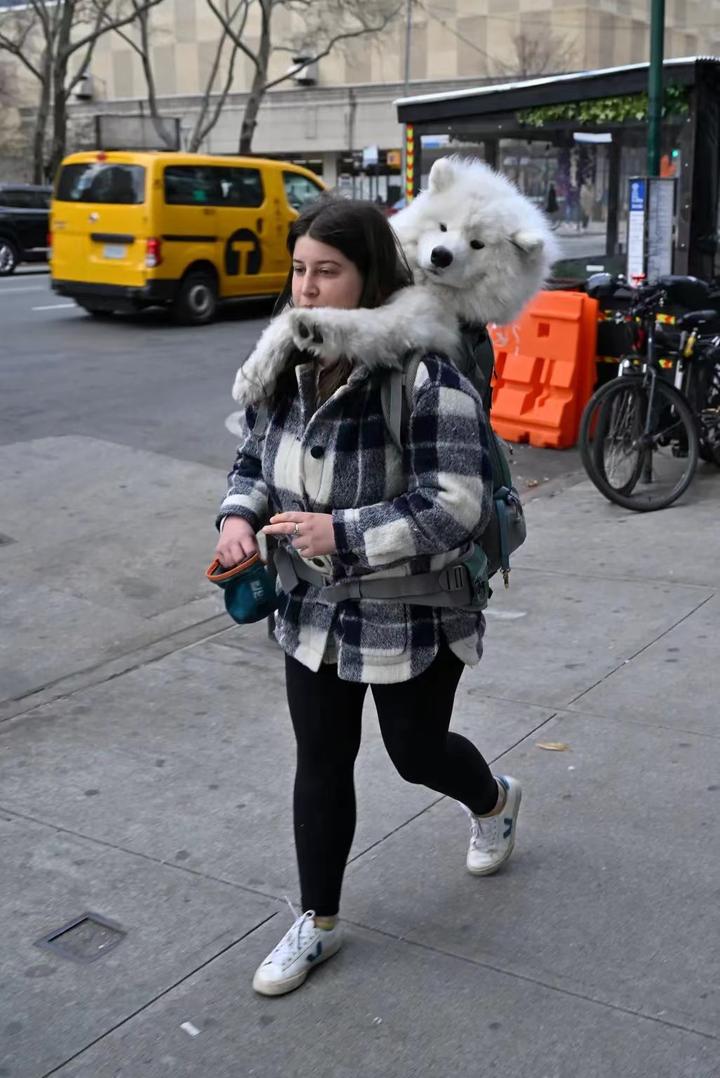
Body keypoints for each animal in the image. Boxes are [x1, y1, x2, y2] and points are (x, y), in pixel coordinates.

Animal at [233, 154, 560, 403]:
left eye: (477, 244)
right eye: (443, 226)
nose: (441, 255)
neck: (421, 279)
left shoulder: (420, 317)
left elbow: (363, 323)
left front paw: (313, 326)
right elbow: (277, 328)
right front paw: (251, 376)